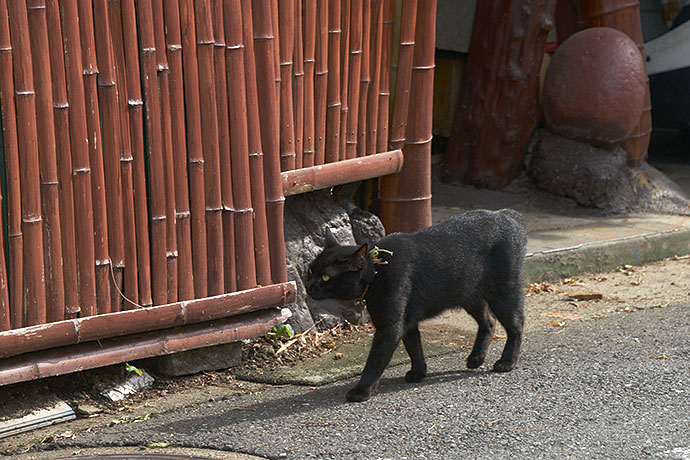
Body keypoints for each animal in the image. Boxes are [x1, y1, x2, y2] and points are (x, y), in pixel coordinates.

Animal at [304, 210, 524, 400]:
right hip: (469, 295)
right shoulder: (407, 321)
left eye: (325, 277)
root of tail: (505, 214)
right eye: (310, 270)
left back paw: (507, 362)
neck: (377, 271)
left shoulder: (390, 326)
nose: (308, 286)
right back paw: (476, 357)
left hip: (504, 292)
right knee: (489, 321)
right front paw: (418, 372)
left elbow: (375, 361)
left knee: (516, 325)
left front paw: (362, 391)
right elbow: (414, 347)